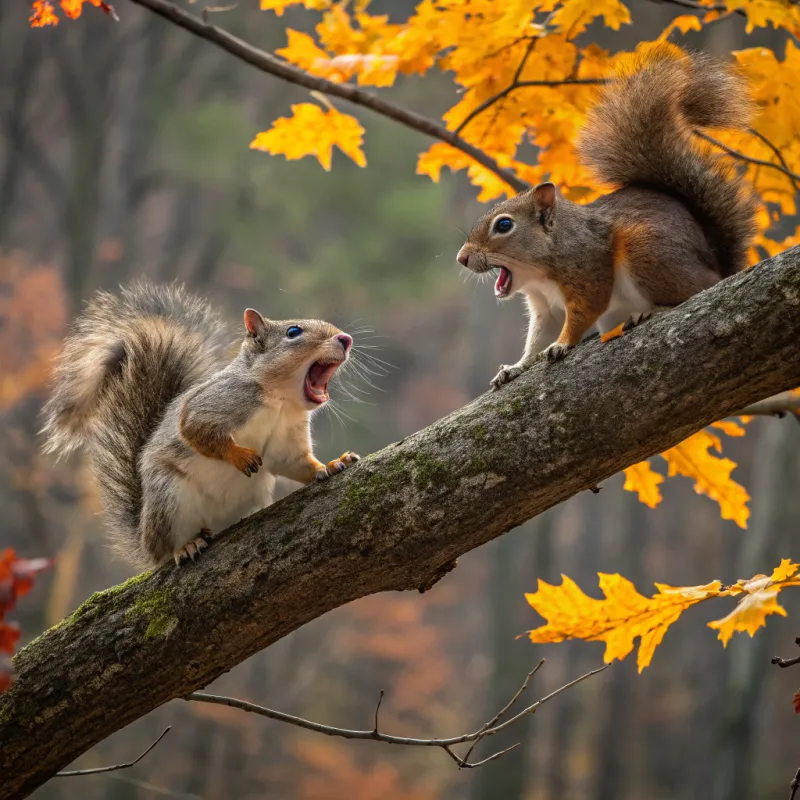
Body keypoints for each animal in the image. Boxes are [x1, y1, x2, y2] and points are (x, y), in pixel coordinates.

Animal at [41, 281, 360, 568]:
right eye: (293, 332)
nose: (345, 339)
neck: (282, 401)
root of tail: (146, 543)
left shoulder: (287, 434)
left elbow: (294, 462)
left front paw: (331, 465)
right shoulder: (219, 401)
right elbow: (194, 429)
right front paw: (239, 456)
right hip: (169, 497)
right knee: (169, 547)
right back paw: (186, 546)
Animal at [456, 44, 758, 390]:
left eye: (504, 225)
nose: (462, 258)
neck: (538, 272)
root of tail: (717, 263)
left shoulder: (590, 269)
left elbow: (583, 313)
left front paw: (562, 344)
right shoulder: (545, 309)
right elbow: (537, 339)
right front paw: (514, 367)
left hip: (648, 250)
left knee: (698, 289)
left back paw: (654, 310)